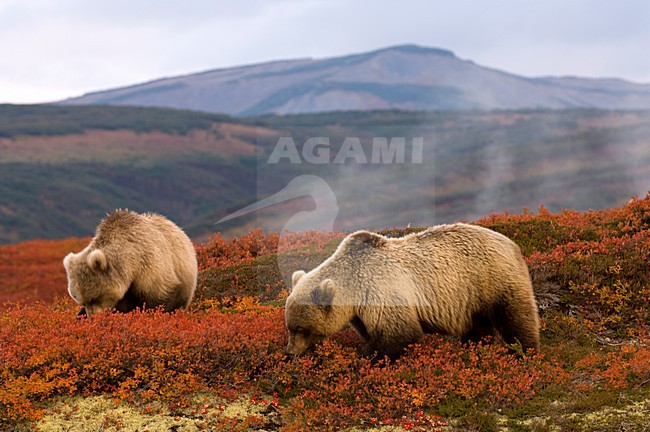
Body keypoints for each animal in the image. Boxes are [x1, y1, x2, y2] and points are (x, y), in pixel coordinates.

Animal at [285, 223, 540, 358]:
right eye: (290, 327)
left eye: (301, 328)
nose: (290, 352)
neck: (354, 287)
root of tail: (512, 244)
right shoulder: (363, 310)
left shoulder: (382, 290)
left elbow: (399, 333)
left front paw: (369, 356)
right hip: (471, 298)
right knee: (479, 327)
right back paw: (472, 348)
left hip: (493, 280)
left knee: (516, 318)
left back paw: (524, 352)